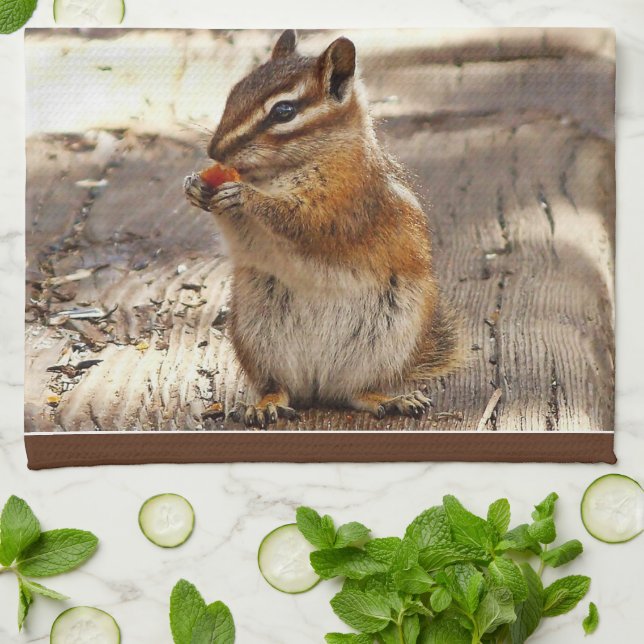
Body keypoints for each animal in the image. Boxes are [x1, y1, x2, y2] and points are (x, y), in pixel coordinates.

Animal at [184, 30, 461, 427]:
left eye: (283, 111)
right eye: (235, 90)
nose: (214, 151)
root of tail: (319, 385)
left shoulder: (343, 204)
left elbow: (302, 222)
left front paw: (245, 196)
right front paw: (196, 187)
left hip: (389, 338)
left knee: (356, 392)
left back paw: (392, 398)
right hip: (258, 334)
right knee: (281, 387)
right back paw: (265, 404)